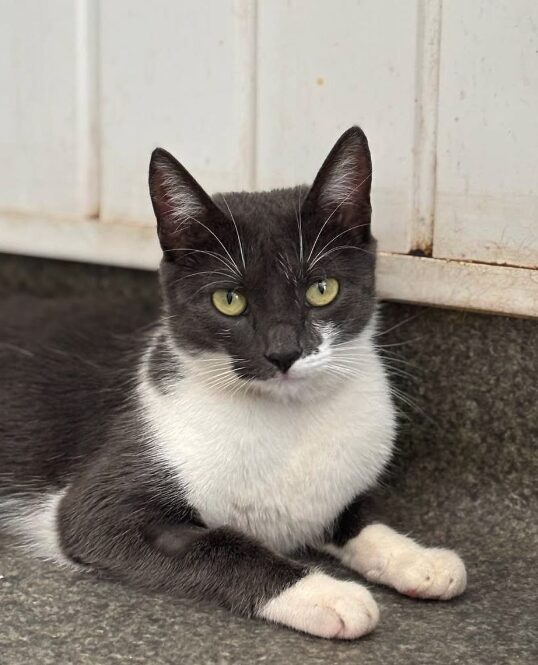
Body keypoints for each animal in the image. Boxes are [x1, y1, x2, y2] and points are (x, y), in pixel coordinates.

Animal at [0, 126, 462, 640]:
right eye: (228, 300)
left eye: (322, 289)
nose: (283, 352)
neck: (288, 421)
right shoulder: (101, 508)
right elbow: (217, 543)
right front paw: (324, 593)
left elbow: (356, 517)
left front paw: (418, 558)